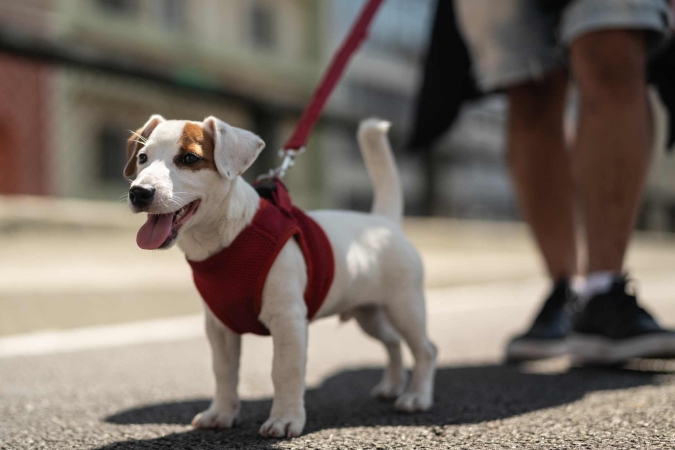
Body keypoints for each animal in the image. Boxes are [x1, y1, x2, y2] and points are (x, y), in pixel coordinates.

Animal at [124, 114, 438, 438]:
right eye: (142, 158)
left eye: (189, 158)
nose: (139, 192)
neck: (228, 239)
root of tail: (384, 222)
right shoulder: (219, 328)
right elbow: (224, 372)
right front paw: (221, 412)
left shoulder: (288, 322)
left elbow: (284, 371)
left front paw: (285, 418)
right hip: (369, 314)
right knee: (393, 343)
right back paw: (392, 385)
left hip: (405, 308)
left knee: (425, 350)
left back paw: (416, 396)